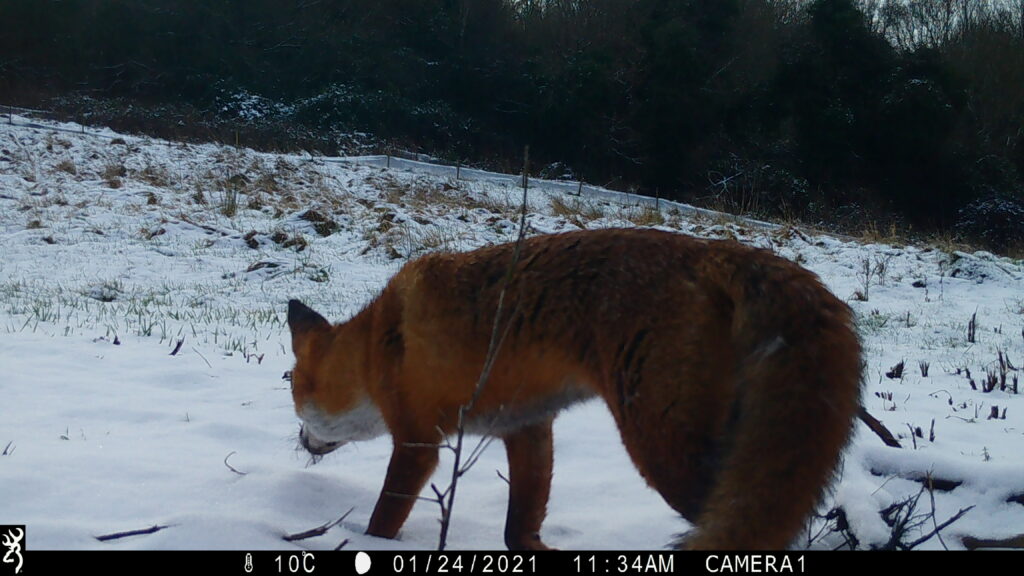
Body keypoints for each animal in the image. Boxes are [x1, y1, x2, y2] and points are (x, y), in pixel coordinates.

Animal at [288, 224, 864, 545]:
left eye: (293, 396)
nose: (298, 441)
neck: (374, 347)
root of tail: (720, 252)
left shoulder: (418, 442)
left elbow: (384, 518)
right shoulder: (527, 427)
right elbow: (520, 526)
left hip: (665, 451)